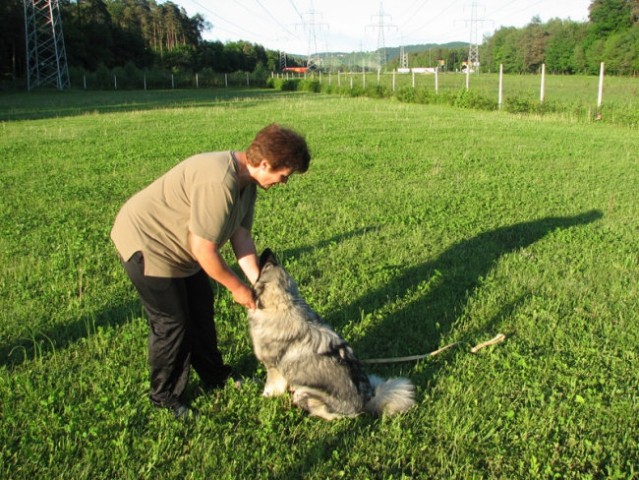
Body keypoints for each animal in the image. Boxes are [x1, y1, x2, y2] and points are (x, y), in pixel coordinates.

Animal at [248, 248, 418, 420]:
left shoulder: (273, 369)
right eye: (273, 261)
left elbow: (271, 386)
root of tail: (367, 399)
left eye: (266, 266)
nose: (268, 250)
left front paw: (265, 396)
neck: (284, 304)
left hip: (306, 394)